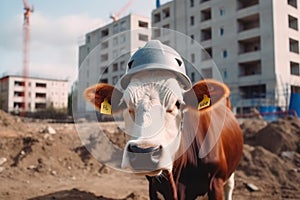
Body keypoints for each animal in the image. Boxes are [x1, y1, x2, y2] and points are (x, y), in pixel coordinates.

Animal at [84, 40, 244, 200]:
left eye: (178, 103)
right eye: (125, 104)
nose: (144, 152)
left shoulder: (216, 182)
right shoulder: (154, 186)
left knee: (229, 186)